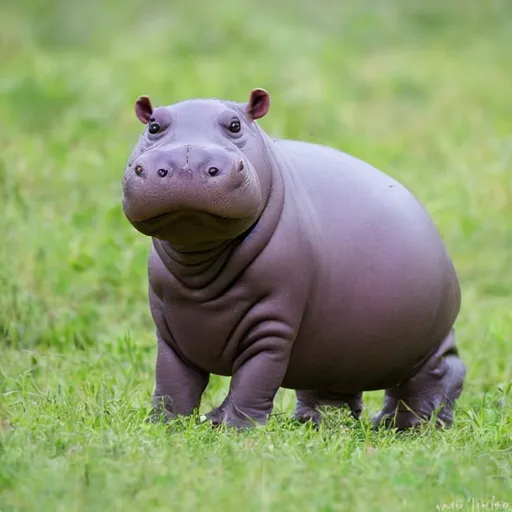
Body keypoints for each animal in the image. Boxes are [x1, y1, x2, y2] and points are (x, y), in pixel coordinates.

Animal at [122, 88, 466, 428]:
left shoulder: (271, 327)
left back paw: (414, 426)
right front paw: (165, 425)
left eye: (235, 125)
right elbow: (172, 382)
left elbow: (253, 382)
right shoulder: (169, 330)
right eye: (153, 125)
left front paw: (237, 429)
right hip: (339, 346)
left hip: (429, 345)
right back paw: (321, 424)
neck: (199, 266)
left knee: (442, 375)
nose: (186, 162)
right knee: (332, 387)